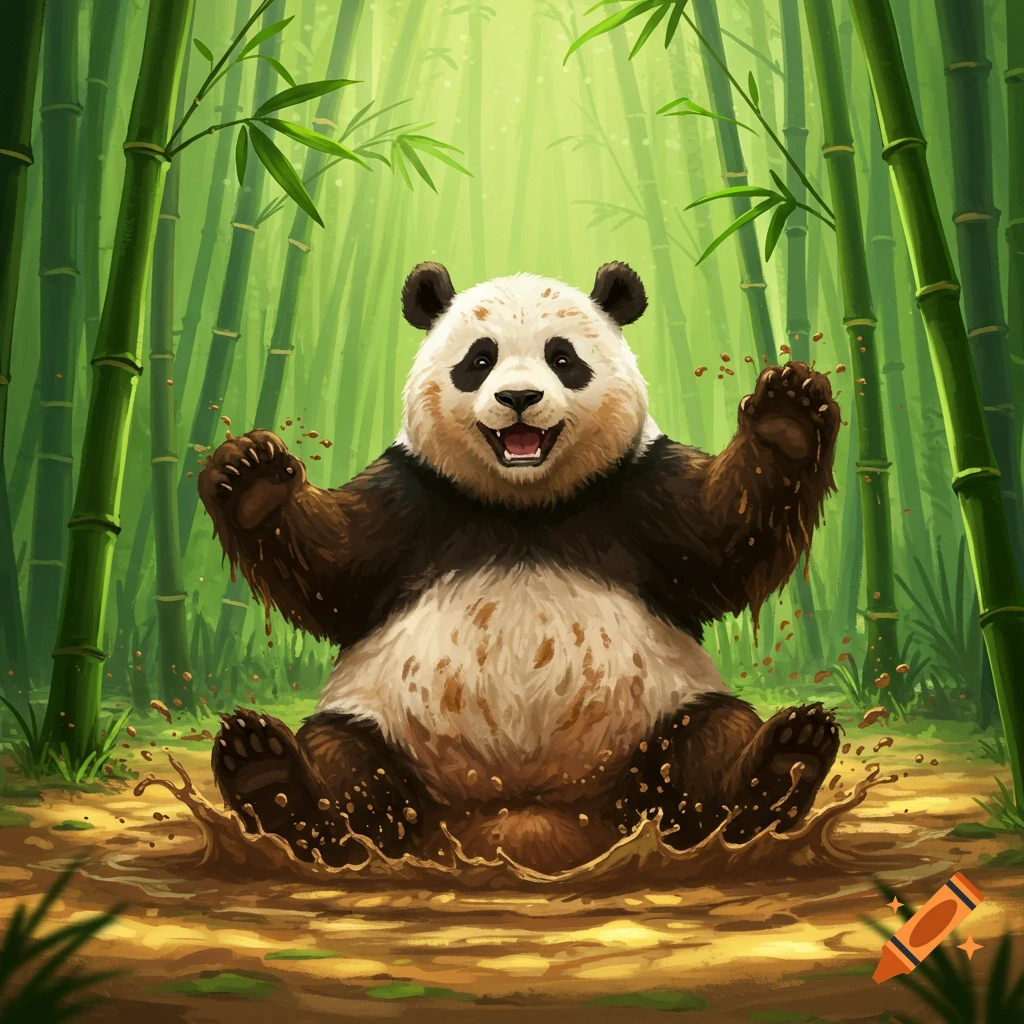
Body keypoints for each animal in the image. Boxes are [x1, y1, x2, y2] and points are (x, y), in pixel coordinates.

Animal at [198, 261, 842, 874]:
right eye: (479, 361)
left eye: (563, 359)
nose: (519, 399)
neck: (523, 507)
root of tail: (525, 823)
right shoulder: (413, 497)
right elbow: (333, 571)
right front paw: (254, 480)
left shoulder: (640, 490)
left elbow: (725, 537)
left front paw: (786, 419)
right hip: (395, 739)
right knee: (345, 759)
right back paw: (271, 775)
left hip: (646, 737)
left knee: (707, 745)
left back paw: (787, 758)